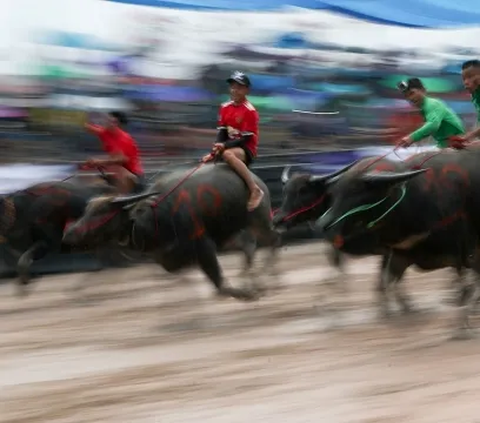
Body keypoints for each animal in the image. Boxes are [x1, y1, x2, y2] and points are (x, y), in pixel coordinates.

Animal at [63, 162, 282, 302]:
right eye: (86, 210)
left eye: (101, 211)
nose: (69, 233)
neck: (154, 217)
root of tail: (257, 180)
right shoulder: (169, 258)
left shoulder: (203, 246)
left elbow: (220, 284)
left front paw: (246, 293)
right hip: (234, 231)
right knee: (249, 247)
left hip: (260, 221)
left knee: (273, 239)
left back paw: (270, 279)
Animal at [316, 151, 480, 340]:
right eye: (334, 193)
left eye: (356, 191)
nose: (322, 226)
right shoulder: (400, 255)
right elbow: (387, 283)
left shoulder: (464, 253)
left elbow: (467, 288)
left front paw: (462, 327)